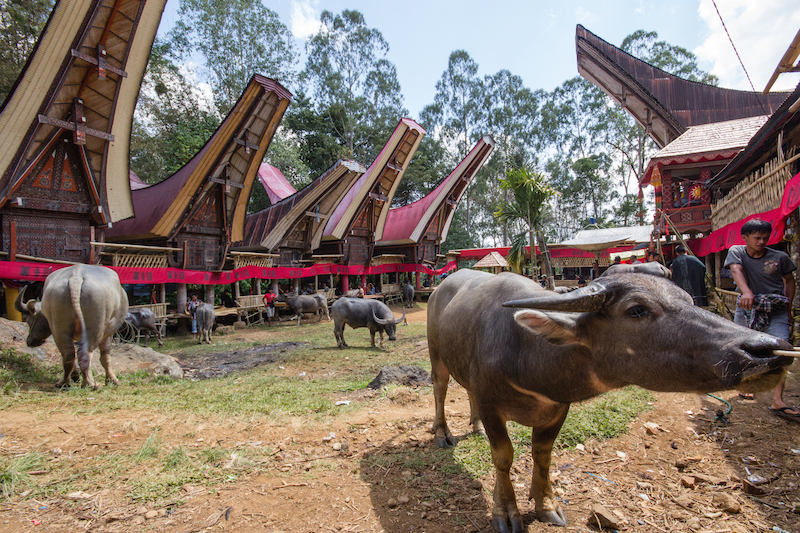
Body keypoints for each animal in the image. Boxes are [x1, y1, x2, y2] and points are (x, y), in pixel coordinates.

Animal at [427, 269, 792, 531]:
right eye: (637, 310)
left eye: (689, 299)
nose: (768, 349)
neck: (527, 350)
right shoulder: (491, 403)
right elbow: (503, 457)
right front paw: (506, 511)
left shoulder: (557, 409)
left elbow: (543, 455)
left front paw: (547, 504)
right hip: (436, 355)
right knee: (441, 388)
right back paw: (443, 433)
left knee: (466, 389)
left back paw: (474, 426)